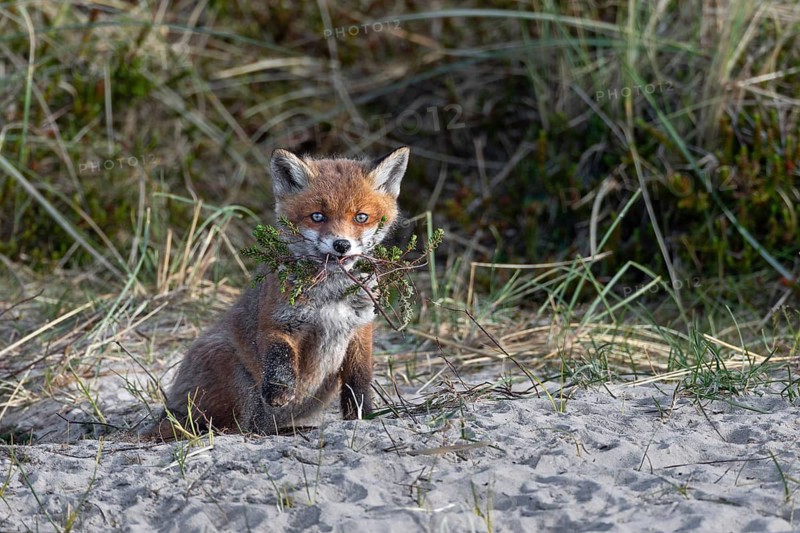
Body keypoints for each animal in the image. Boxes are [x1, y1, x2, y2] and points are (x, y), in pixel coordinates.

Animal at [150, 146, 410, 438]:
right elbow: (279, 357)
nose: (341, 245)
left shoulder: (359, 327)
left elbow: (359, 382)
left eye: (361, 217)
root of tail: (171, 409)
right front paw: (280, 391)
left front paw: (362, 418)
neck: (330, 296)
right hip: (233, 374)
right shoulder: (277, 321)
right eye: (317, 216)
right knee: (236, 427)